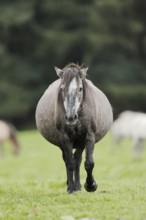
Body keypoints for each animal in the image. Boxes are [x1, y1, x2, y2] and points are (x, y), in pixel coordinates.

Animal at [35, 62, 113, 193]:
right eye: (62, 89)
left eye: (80, 89)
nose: (70, 117)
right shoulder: (65, 138)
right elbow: (70, 163)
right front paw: (71, 189)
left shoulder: (88, 136)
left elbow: (88, 163)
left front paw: (91, 185)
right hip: (63, 144)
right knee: (68, 160)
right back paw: (72, 186)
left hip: (80, 142)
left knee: (78, 159)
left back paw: (78, 186)